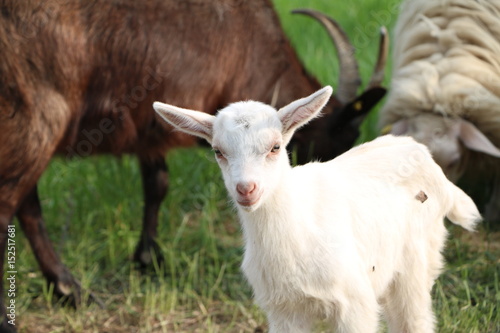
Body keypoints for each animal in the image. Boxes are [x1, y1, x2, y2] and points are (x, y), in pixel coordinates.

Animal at [0, 0, 386, 326]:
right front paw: (148, 257)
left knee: (26, 203)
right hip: (37, 115)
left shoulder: (148, 128)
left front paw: (148, 258)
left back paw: (66, 289)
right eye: (337, 141)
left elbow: (156, 182)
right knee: (12, 205)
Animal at [152, 86, 480, 332]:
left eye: (275, 147)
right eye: (218, 151)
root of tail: (421, 152)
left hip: (416, 262)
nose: (246, 189)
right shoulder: (283, 311)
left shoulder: (356, 305)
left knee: (415, 319)